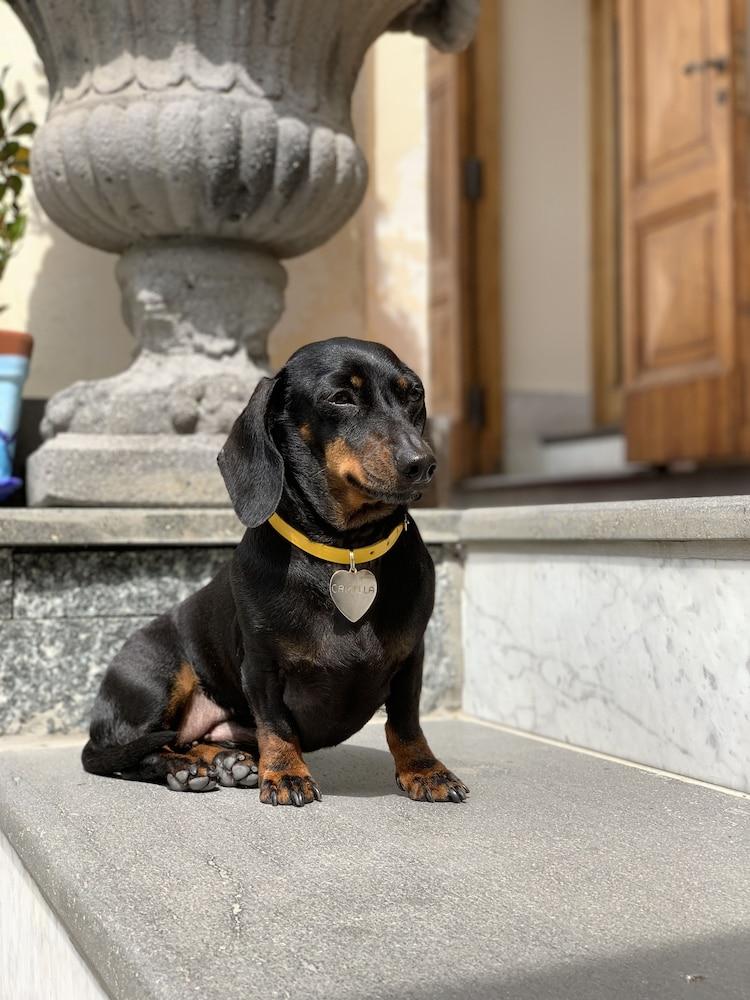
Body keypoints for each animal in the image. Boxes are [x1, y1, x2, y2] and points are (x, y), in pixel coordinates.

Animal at [82, 340, 470, 808]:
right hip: (156, 676)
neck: (346, 548)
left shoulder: (411, 657)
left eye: (413, 394)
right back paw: (184, 769)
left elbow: (406, 722)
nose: (423, 464)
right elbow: (276, 725)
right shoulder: (261, 666)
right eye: (341, 397)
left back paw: (228, 761)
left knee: (189, 740)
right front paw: (286, 774)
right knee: (137, 754)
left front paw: (426, 770)